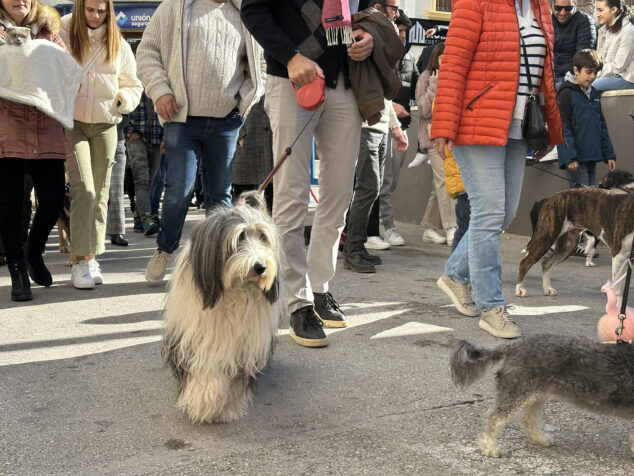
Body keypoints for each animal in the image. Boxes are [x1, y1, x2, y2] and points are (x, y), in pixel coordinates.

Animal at [162, 192, 282, 422]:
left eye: (263, 237)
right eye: (239, 238)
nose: (261, 267)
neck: (233, 291)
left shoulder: (244, 343)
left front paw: (228, 407)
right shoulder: (197, 334)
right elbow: (205, 367)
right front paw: (204, 401)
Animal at [450, 334, 632, 458]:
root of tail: (513, 346)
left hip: (534, 395)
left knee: (528, 419)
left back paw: (539, 439)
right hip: (516, 393)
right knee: (494, 418)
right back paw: (489, 447)